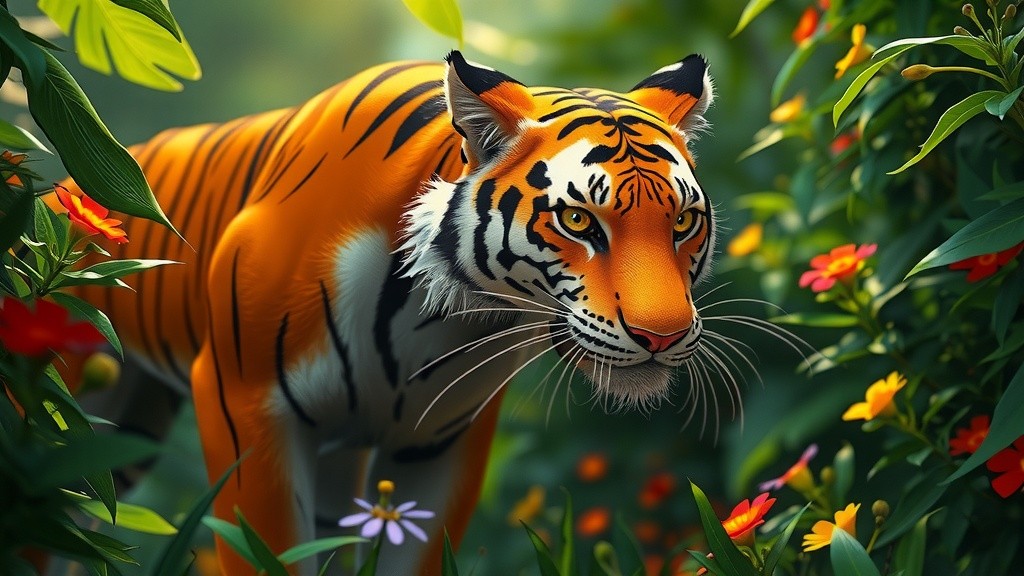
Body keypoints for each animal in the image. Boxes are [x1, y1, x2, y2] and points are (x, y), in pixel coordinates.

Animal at [54, 50, 716, 575]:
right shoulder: (245, 405)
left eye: (683, 221)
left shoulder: (441, 443)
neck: (440, 318)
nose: (663, 336)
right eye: (578, 220)